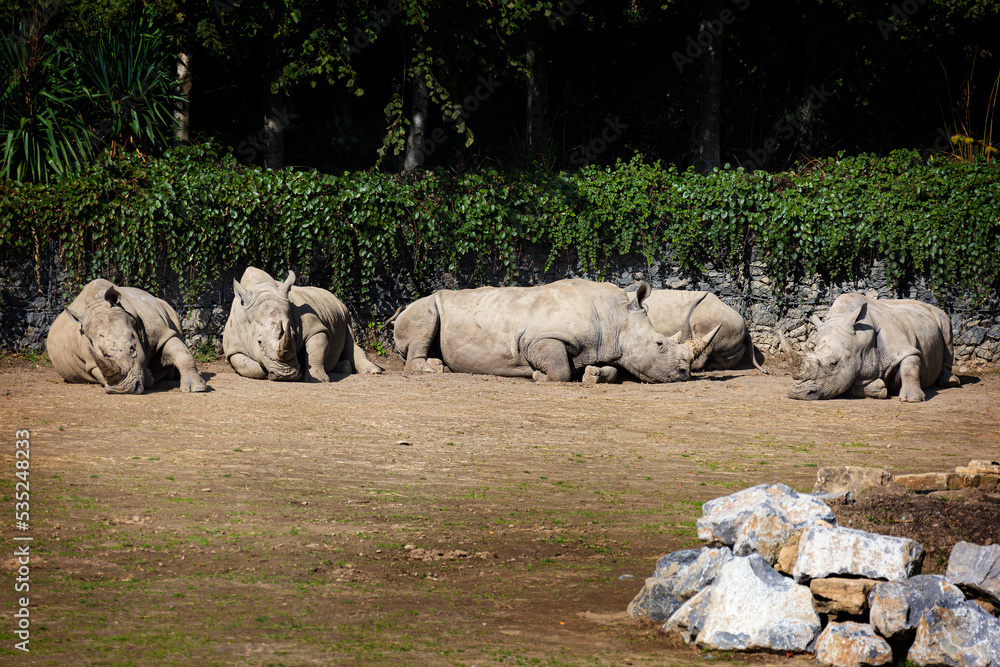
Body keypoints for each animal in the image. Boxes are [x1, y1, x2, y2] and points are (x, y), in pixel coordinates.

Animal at [46, 279, 208, 394]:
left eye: (132, 348)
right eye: (102, 353)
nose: (122, 390)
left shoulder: (161, 333)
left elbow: (181, 352)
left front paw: (196, 388)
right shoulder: (90, 360)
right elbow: (99, 371)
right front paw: (147, 377)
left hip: (164, 305)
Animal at [223, 267, 382, 382]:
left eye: (294, 336)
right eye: (259, 342)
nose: (286, 375)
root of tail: (333, 296)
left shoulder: (316, 328)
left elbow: (315, 351)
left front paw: (317, 379)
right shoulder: (233, 348)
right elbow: (247, 366)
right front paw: (266, 371)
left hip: (345, 313)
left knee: (350, 342)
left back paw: (372, 371)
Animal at [386, 279, 720, 383]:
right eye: (659, 343)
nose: (684, 374)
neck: (615, 318)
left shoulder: (604, 347)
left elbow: (611, 369)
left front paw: (593, 375)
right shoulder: (538, 339)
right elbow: (560, 370)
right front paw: (538, 376)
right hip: (424, 307)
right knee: (426, 315)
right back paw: (434, 369)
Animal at [780, 293, 961, 402]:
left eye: (834, 363)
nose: (798, 393)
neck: (861, 341)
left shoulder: (904, 348)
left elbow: (910, 364)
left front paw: (912, 399)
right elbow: (851, 385)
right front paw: (879, 387)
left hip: (937, 313)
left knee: (947, 327)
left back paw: (950, 382)